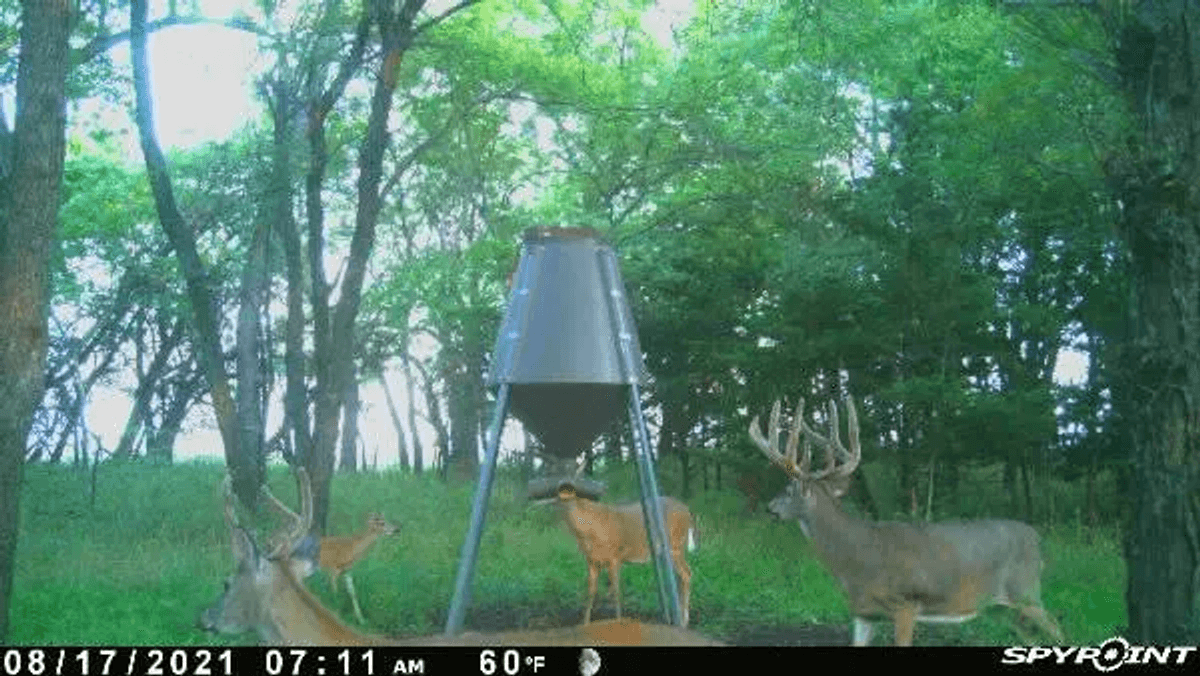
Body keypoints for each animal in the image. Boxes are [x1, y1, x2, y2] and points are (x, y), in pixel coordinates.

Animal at [551, 481, 697, 628]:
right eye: (558, 499)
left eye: (569, 497)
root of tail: (688, 510)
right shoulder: (591, 560)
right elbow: (591, 592)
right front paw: (585, 624)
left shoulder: (615, 556)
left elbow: (615, 591)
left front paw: (618, 621)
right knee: (680, 576)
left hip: (675, 545)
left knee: (686, 573)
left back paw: (684, 622)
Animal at [749, 395, 1065, 646]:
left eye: (788, 489)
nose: (769, 507)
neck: (854, 560)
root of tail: (1037, 538)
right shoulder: (863, 613)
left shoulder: (905, 605)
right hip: (1004, 608)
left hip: (1026, 591)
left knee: (1060, 631)